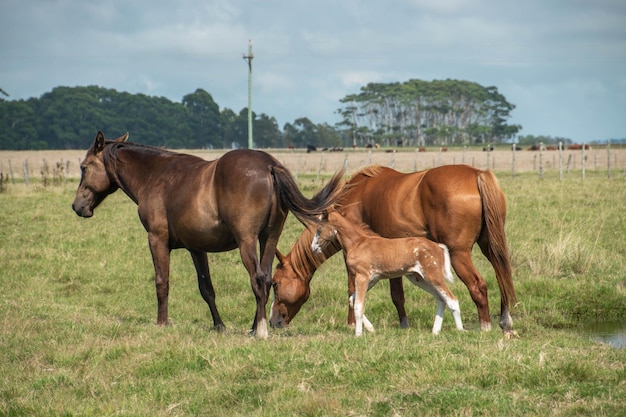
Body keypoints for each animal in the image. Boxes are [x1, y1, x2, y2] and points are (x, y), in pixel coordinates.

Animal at [73, 132, 346, 336]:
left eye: (84, 167)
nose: (77, 206)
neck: (156, 175)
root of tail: (269, 165)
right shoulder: (197, 248)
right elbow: (207, 288)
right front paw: (219, 326)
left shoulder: (157, 239)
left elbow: (162, 281)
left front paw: (161, 323)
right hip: (269, 238)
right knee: (267, 278)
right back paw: (253, 326)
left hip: (247, 241)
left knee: (257, 278)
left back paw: (259, 330)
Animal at [310, 211, 460, 334]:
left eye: (319, 229)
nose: (313, 248)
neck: (358, 243)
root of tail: (438, 246)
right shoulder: (372, 279)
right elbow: (352, 300)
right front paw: (371, 329)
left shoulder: (362, 277)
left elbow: (358, 306)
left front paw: (358, 335)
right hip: (419, 278)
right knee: (441, 299)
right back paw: (435, 331)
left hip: (433, 276)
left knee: (452, 299)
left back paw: (460, 331)